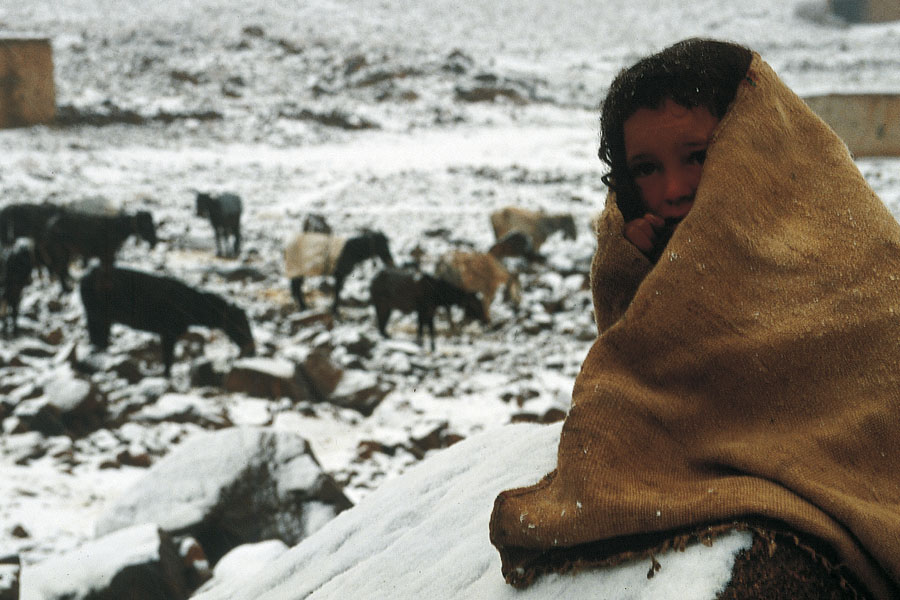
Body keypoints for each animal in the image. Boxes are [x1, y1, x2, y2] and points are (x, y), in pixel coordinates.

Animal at [81, 266, 256, 376]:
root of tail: (84, 279)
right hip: (97, 315)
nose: (252, 350)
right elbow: (168, 361)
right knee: (97, 339)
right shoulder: (168, 333)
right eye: (240, 324)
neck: (191, 309)